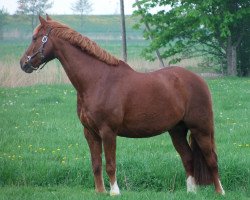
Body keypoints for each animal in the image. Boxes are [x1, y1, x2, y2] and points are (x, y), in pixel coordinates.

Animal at [20, 16, 225, 195]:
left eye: (35, 38)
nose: (23, 63)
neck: (97, 80)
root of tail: (199, 79)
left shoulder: (108, 131)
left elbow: (110, 164)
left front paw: (114, 192)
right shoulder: (90, 132)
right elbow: (96, 164)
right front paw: (100, 192)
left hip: (201, 129)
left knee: (211, 159)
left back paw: (220, 191)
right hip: (177, 130)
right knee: (188, 157)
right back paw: (192, 191)